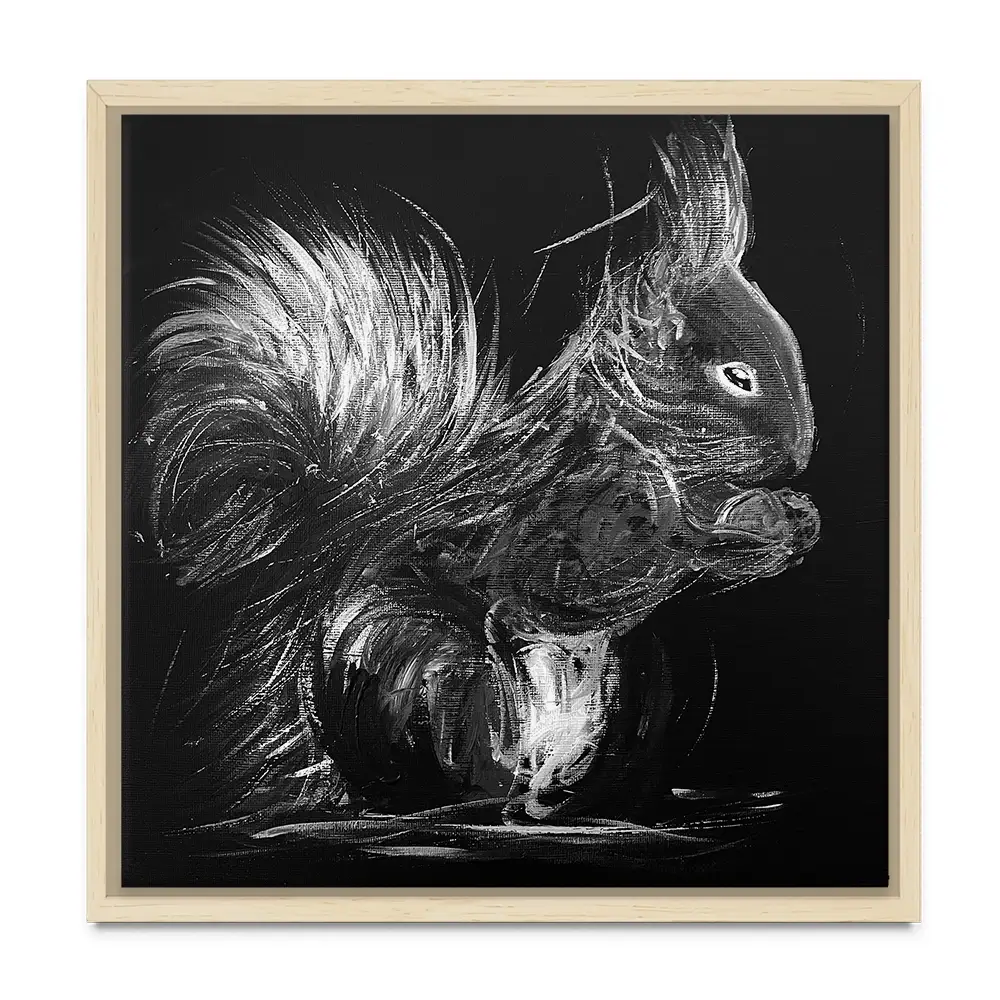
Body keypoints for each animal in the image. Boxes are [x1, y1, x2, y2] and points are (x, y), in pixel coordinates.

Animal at [128, 117, 820, 832]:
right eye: (736, 377)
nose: (801, 456)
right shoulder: (555, 510)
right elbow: (587, 574)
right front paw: (704, 523)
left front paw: (789, 522)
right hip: (431, 676)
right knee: (453, 768)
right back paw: (490, 791)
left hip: (638, 695)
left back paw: (570, 799)